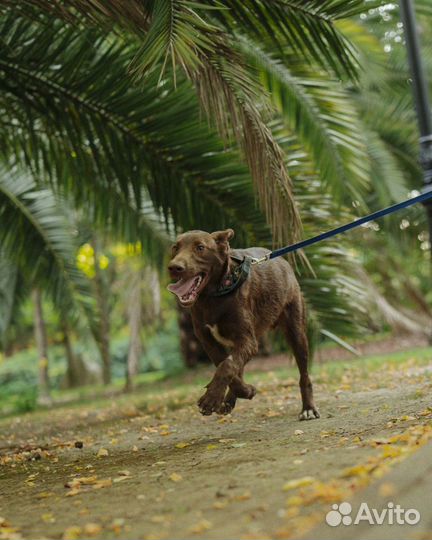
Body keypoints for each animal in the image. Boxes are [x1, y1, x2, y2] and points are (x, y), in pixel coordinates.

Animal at [167, 230, 318, 420]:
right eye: (175, 247)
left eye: (200, 247)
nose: (174, 267)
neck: (214, 296)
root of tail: (282, 261)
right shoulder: (208, 340)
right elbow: (225, 365)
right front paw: (242, 392)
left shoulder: (247, 340)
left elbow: (227, 366)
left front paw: (211, 398)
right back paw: (231, 398)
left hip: (296, 332)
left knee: (304, 375)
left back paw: (308, 408)